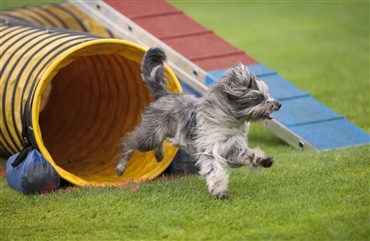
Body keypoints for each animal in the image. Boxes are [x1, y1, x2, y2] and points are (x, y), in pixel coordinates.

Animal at [115, 47, 280, 200]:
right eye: (260, 98)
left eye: (267, 96)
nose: (278, 104)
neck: (230, 120)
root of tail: (166, 94)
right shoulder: (209, 149)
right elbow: (214, 170)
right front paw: (219, 191)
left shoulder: (232, 148)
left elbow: (248, 155)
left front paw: (263, 160)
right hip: (150, 136)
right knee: (129, 143)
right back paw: (120, 167)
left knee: (160, 141)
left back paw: (159, 154)